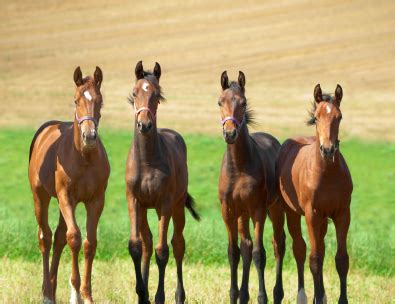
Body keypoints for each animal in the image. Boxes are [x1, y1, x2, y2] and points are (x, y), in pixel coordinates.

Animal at [28, 67, 110, 304]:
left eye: (100, 101)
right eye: (75, 100)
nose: (89, 136)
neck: (83, 158)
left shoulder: (96, 200)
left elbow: (89, 243)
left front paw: (86, 295)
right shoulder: (66, 197)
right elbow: (74, 238)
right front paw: (76, 292)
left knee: (57, 238)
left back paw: (53, 290)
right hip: (41, 197)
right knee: (45, 237)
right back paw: (47, 293)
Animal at [126, 60, 201, 304]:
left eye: (157, 95)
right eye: (135, 92)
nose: (144, 125)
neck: (147, 162)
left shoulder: (164, 204)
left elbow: (162, 251)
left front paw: (159, 296)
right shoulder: (134, 201)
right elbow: (136, 246)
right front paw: (142, 293)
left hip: (177, 207)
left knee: (177, 244)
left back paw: (179, 295)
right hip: (145, 209)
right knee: (147, 244)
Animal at [218, 71, 286, 304]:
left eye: (243, 102)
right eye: (220, 102)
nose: (230, 133)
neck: (239, 168)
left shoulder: (258, 210)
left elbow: (259, 253)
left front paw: (262, 297)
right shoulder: (228, 211)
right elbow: (233, 252)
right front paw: (233, 295)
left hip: (275, 209)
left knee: (278, 244)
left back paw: (277, 294)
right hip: (242, 214)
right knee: (245, 246)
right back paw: (243, 295)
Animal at [276, 83, 354, 304]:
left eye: (339, 116)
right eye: (317, 117)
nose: (328, 150)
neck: (327, 173)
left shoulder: (342, 214)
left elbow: (341, 259)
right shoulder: (312, 214)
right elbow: (315, 259)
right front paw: (317, 297)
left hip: (324, 221)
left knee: (320, 247)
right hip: (291, 213)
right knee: (299, 249)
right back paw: (302, 296)